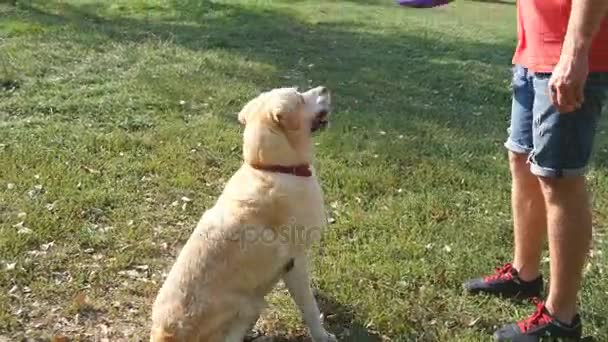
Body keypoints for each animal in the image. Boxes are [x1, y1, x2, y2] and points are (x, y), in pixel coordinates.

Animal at [150, 86, 334, 342]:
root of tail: (165, 334)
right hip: (250, 304)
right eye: (299, 97)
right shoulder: (294, 261)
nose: (325, 88)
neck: (272, 168)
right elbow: (309, 307)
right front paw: (322, 334)